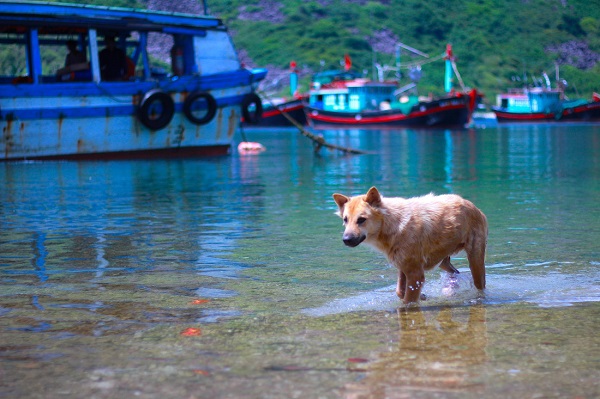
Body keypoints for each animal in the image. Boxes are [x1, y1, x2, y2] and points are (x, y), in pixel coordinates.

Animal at [330, 188, 490, 304]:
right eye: (345, 220)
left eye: (361, 219)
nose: (346, 239)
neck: (393, 225)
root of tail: (474, 207)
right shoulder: (404, 266)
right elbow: (400, 291)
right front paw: (423, 296)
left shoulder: (415, 273)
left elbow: (408, 301)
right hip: (442, 261)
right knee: (455, 272)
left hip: (475, 258)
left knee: (480, 283)